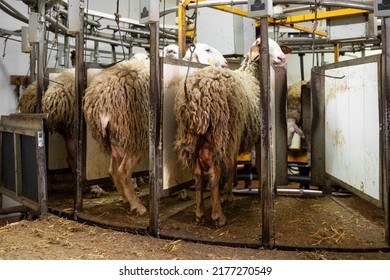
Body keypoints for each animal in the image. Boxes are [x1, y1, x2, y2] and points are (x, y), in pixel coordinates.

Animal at [174, 37, 290, 228]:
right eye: (265, 45)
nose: (282, 58)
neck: (252, 78)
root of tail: (198, 91)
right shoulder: (255, 135)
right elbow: (253, 165)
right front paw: (250, 194)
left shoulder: (236, 136)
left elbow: (233, 164)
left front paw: (228, 193)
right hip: (220, 132)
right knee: (213, 174)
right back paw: (218, 216)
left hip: (193, 135)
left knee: (198, 174)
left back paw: (199, 213)